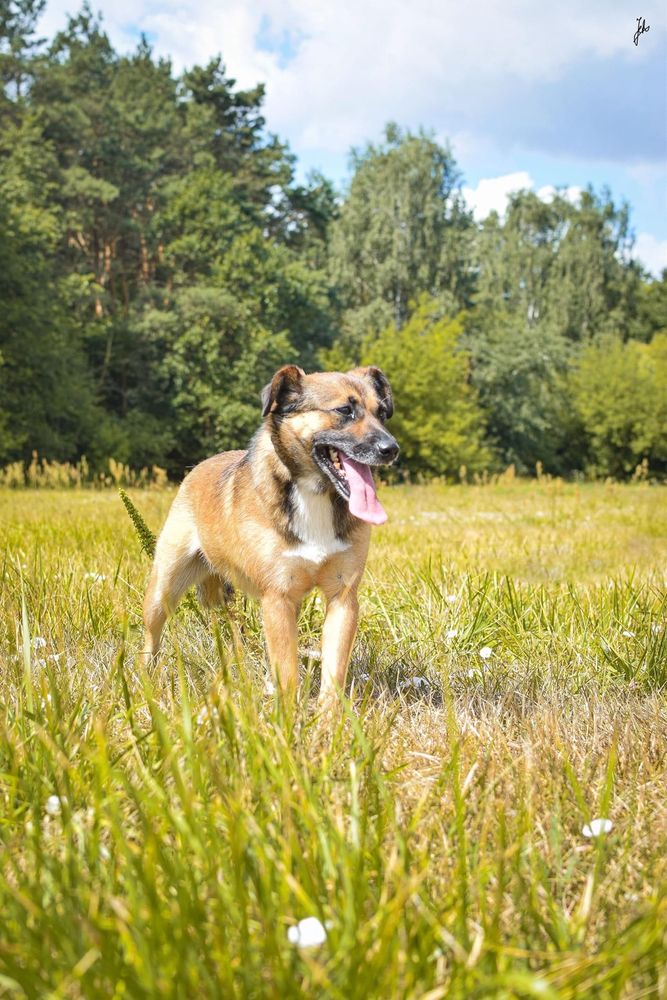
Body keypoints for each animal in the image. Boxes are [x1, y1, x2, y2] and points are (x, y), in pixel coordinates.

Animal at [142, 364, 400, 700]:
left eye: (382, 413)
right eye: (344, 410)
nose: (391, 449)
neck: (313, 494)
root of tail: (198, 467)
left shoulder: (343, 597)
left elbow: (333, 673)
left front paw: (328, 715)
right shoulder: (278, 597)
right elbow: (288, 672)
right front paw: (288, 713)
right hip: (163, 587)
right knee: (151, 638)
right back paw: (143, 679)